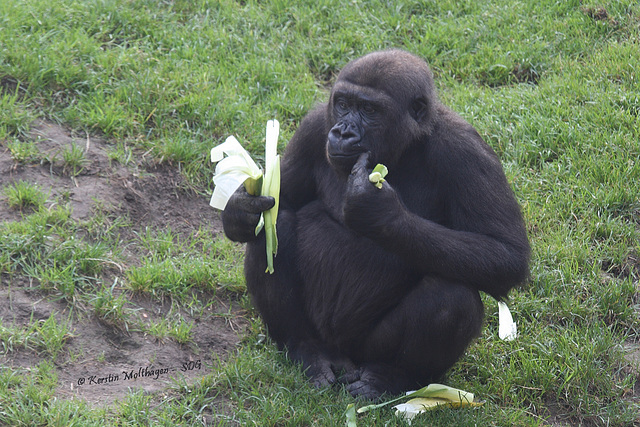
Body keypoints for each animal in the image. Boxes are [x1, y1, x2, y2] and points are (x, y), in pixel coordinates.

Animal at [221, 50, 528, 402]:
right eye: (343, 104)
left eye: (369, 110)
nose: (342, 132)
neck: (407, 144)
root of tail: (344, 356)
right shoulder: (314, 127)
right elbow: (280, 202)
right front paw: (240, 210)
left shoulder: (466, 150)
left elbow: (505, 253)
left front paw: (379, 212)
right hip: (326, 340)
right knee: (272, 230)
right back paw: (307, 350)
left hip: (366, 350)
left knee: (451, 294)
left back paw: (389, 376)